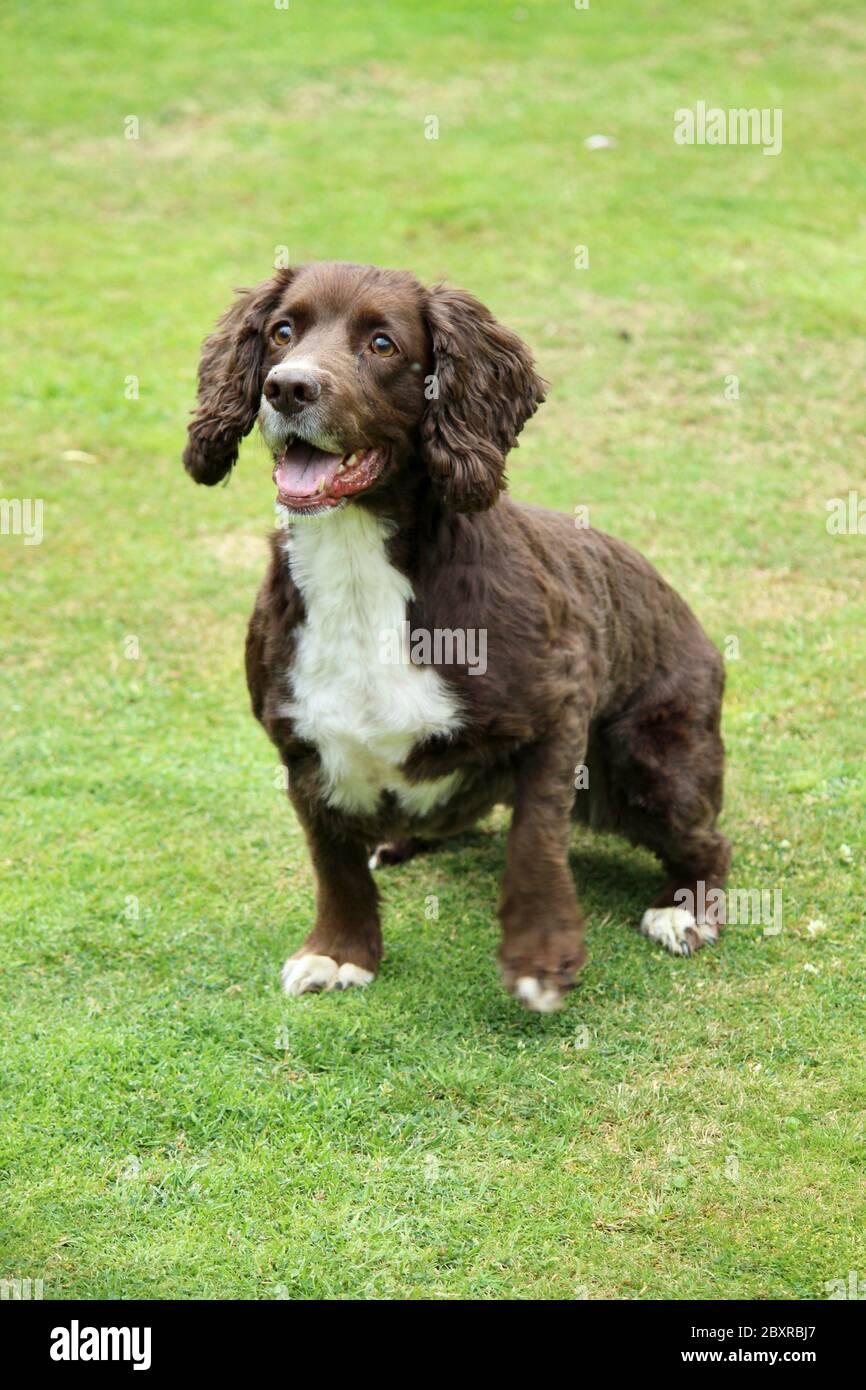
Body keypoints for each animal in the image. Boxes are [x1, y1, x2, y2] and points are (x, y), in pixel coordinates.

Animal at [184, 261, 733, 1017]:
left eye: (382, 344)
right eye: (282, 331)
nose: (288, 387)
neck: (359, 562)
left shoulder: (560, 703)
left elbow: (535, 837)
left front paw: (539, 957)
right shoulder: (298, 742)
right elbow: (332, 861)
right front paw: (338, 952)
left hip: (648, 755)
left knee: (709, 841)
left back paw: (685, 909)